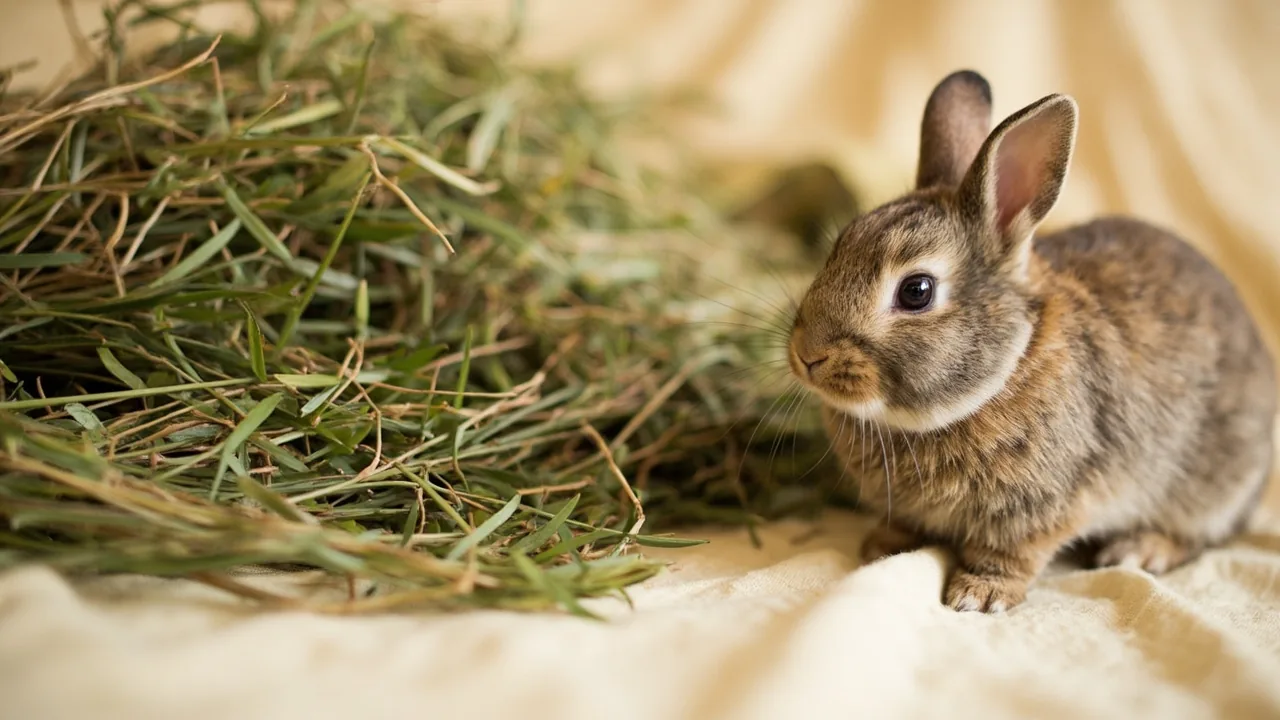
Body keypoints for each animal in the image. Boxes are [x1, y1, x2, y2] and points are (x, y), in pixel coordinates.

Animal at [787, 69, 1277, 613]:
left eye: (917, 291)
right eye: (839, 246)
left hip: (1211, 484)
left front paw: (979, 595)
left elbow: (1011, 553)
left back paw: (1139, 548)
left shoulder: (1044, 503)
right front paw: (880, 546)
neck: (1004, 370)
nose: (806, 355)